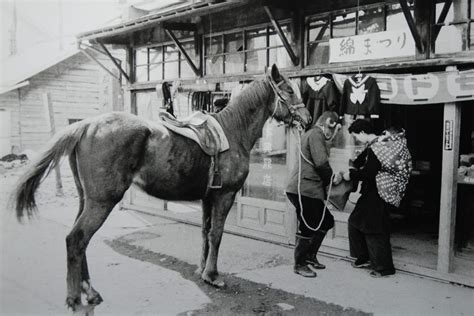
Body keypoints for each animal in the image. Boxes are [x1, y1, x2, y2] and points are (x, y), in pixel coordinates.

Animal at [12, 64, 312, 312]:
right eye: (288, 90)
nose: (308, 119)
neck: (232, 133)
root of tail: (87, 126)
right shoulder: (224, 197)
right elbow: (216, 235)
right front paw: (213, 276)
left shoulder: (208, 198)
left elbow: (205, 234)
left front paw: (202, 271)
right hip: (102, 201)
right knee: (76, 239)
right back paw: (76, 298)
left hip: (87, 199)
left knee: (79, 240)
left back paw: (90, 291)